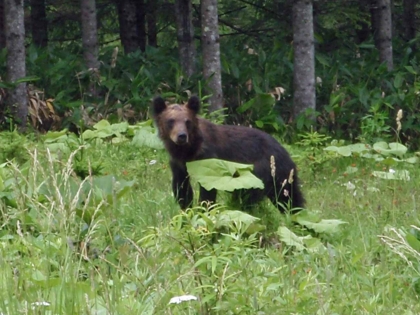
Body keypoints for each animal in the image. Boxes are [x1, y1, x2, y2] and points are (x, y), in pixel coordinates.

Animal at [153, 94, 304, 212]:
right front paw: (186, 210)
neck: (189, 151)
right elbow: (182, 189)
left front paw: (204, 209)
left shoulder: (208, 158)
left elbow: (208, 189)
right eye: (170, 121)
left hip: (258, 173)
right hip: (281, 177)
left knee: (249, 196)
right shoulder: (178, 163)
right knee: (290, 199)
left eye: (187, 121)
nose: (182, 136)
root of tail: (286, 155)